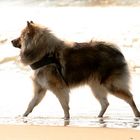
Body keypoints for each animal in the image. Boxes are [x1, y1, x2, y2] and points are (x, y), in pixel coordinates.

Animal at [11, 21, 139, 119]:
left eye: (20, 36)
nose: (11, 40)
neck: (45, 54)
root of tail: (117, 52)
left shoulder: (58, 88)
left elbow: (64, 105)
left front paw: (66, 118)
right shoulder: (40, 89)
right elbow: (31, 104)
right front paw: (23, 116)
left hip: (111, 85)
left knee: (130, 98)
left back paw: (137, 115)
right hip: (96, 87)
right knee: (105, 103)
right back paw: (99, 117)